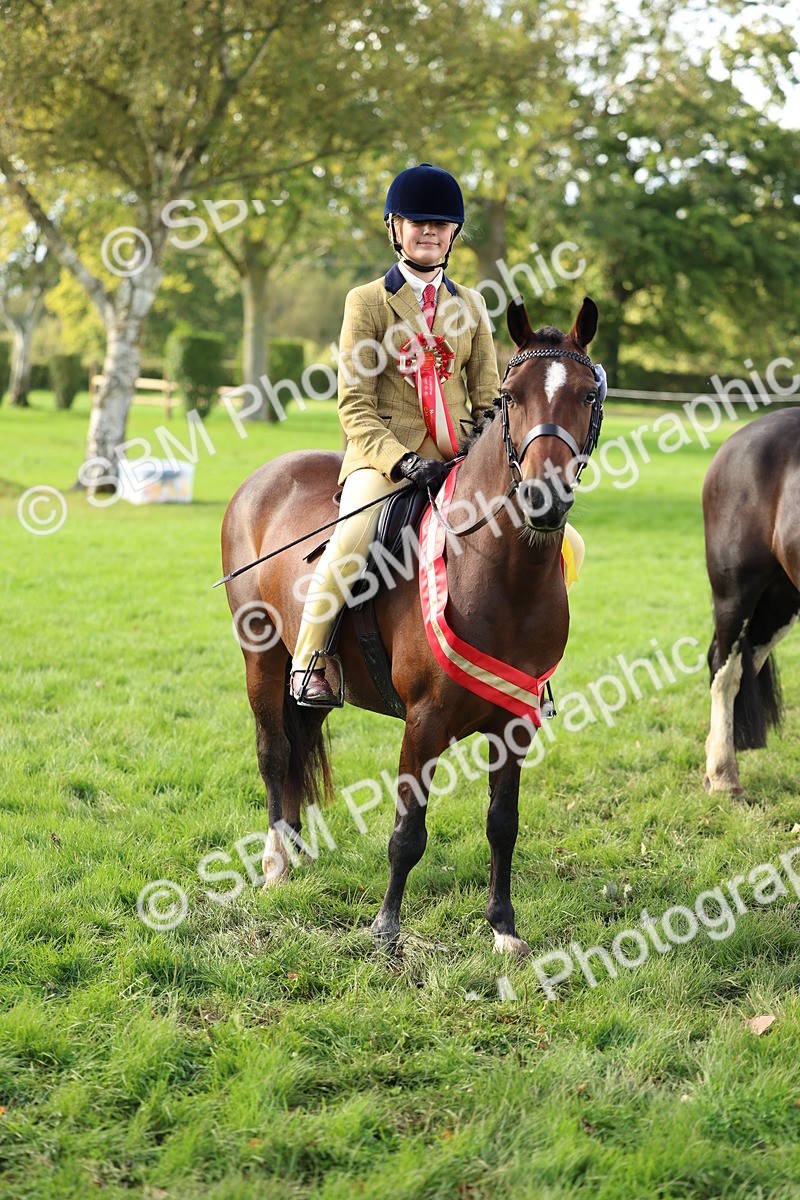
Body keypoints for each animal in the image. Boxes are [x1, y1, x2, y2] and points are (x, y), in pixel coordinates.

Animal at [220, 295, 604, 954]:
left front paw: (503, 928)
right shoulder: (423, 723)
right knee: (274, 753)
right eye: (510, 397)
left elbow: (503, 824)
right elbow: (408, 830)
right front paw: (385, 929)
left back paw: (295, 850)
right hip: (261, 657)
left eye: (586, 394)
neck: (503, 574)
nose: (543, 498)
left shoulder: (516, 724)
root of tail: (262, 478)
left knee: (298, 744)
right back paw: (274, 865)